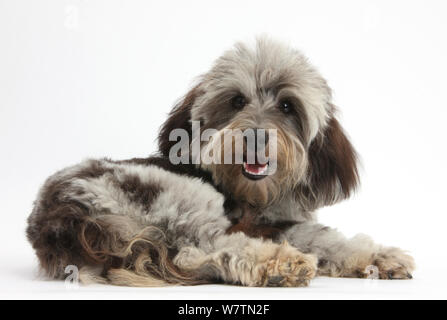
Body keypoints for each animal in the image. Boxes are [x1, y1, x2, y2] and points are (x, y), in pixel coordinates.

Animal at [26, 38, 414, 288]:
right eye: (237, 101)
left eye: (287, 106)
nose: (256, 136)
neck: (254, 198)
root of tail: (59, 217)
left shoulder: (283, 223)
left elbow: (331, 240)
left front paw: (381, 257)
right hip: (179, 197)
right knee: (200, 248)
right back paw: (279, 263)